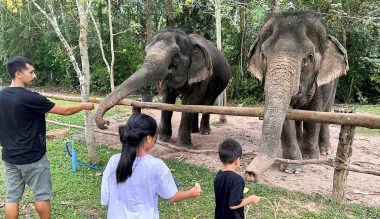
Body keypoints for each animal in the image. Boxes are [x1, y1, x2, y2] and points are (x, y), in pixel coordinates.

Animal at [95, 28, 232, 145]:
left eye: (175, 56)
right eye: (146, 51)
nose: (106, 123)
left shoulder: (202, 75)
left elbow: (190, 101)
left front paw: (183, 145)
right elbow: (167, 100)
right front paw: (163, 139)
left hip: (218, 84)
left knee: (208, 102)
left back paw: (205, 132)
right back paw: (194, 131)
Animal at [245, 11, 348, 181]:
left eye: (309, 57)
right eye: (263, 56)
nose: (250, 174)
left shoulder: (319, 82)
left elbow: (315, 113)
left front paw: (309, 158)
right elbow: (288, 115)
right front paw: (292, 168)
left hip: (334, 84)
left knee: (326, 112)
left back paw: (325, 151)